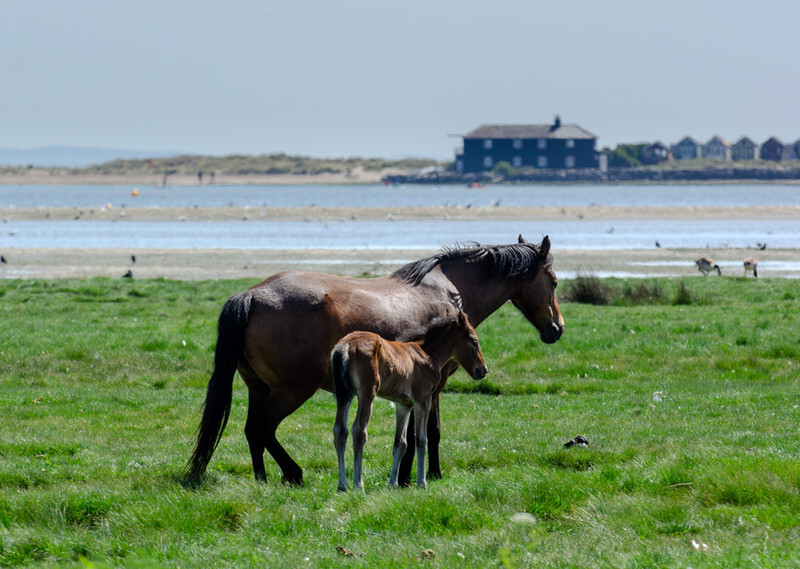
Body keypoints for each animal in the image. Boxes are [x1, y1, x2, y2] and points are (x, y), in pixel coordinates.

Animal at [330, 308, 484, 490]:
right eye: (474, 342)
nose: (483, 370)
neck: (427, 353)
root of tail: (346, 345)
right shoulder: (423, 401)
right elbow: (421, 440)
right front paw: (422, 482)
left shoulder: (403, 405)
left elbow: (400, 443)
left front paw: (393, 484)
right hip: (367, 393)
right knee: (358, 430)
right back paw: (358, 484)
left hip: (345, 394)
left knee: (340, 430)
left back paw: (342, 484)